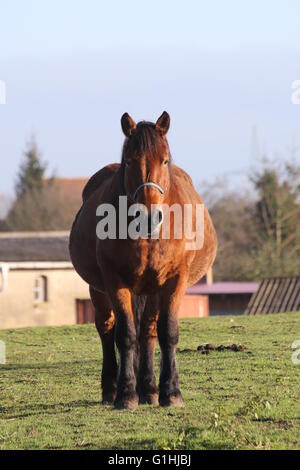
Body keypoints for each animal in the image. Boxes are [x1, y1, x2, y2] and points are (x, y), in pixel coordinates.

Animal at [69, 112, 217, 410]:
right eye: (129, 161)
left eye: (165, 159)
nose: (148, 217)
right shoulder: (115, 282)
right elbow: (125, 335)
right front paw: (126, 394)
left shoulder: (174, 280)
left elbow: (167, 331)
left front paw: (171, 392)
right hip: (99, 290)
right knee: (107, 329)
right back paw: (112, 388)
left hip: (152, 289)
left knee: (148, 331)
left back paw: (149, 389)